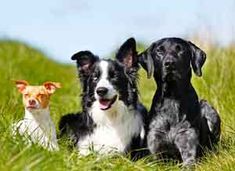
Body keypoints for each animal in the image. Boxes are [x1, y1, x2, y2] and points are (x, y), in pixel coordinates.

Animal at [138, 37, 220, 166]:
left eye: (180, 50)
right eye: (159, 51)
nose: (169, 63)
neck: (172, 96)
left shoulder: (187, 142)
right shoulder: (154, 147)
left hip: (207, 108)